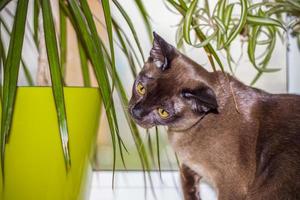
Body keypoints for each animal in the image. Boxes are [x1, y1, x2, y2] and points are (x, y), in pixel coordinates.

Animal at [127, 32, 300, 199]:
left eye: (163, 112)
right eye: (141, 88)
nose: (136, 112)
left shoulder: (231, 187)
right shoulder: (191, 167)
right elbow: (186, 179)